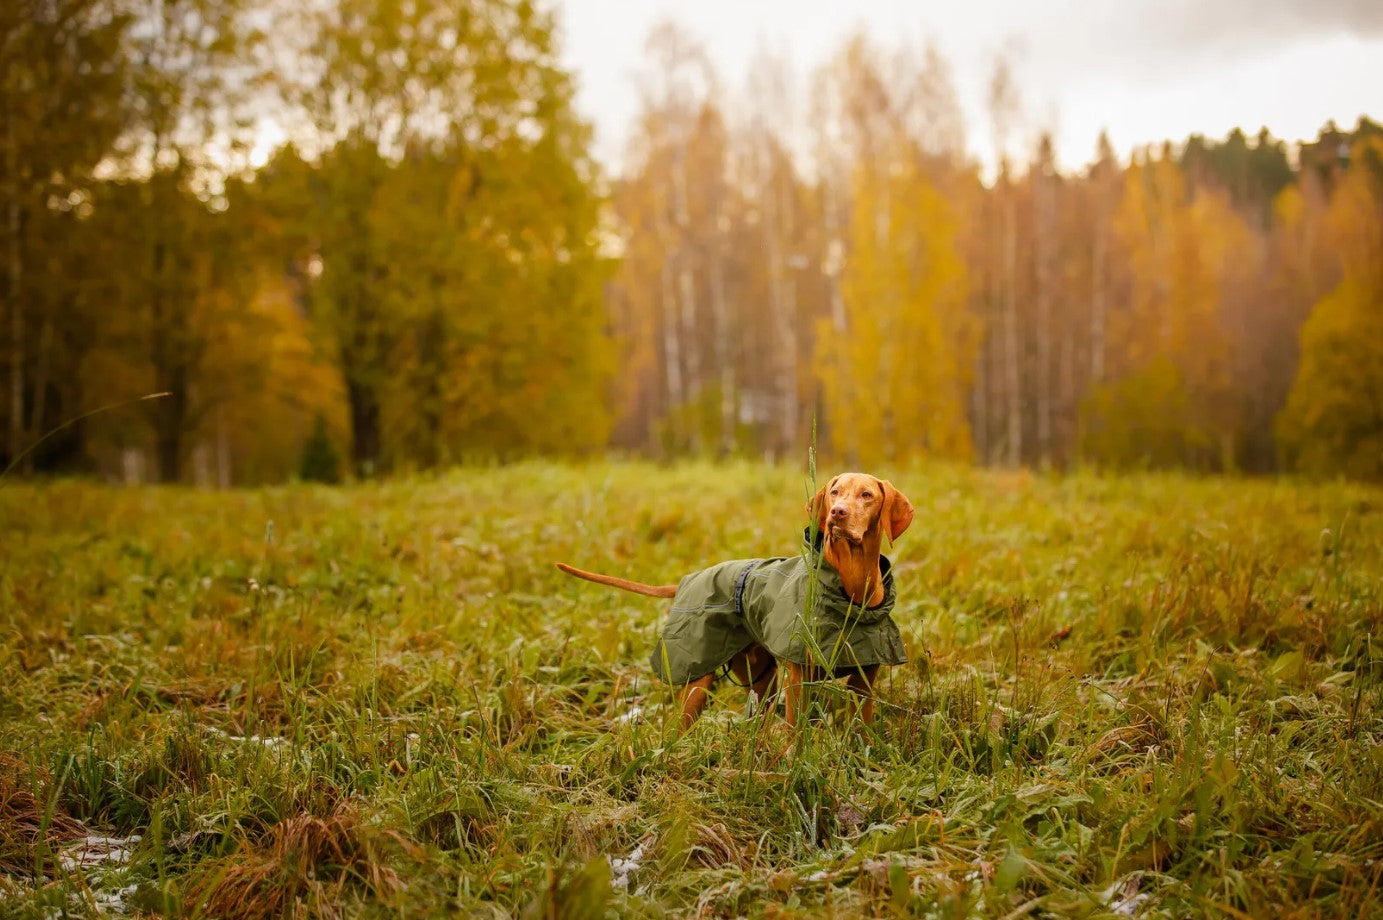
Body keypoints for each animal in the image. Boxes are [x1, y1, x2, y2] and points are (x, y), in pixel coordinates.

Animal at [555, 473, 912, 730]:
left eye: (867, 495)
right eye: (835, 492)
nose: (837, 513)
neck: (851, 588)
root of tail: (687, 580)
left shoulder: (865, 678)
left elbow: (860, 727)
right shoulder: (799, 675)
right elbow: (795, 732)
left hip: (761, 677)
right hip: (697, 681)